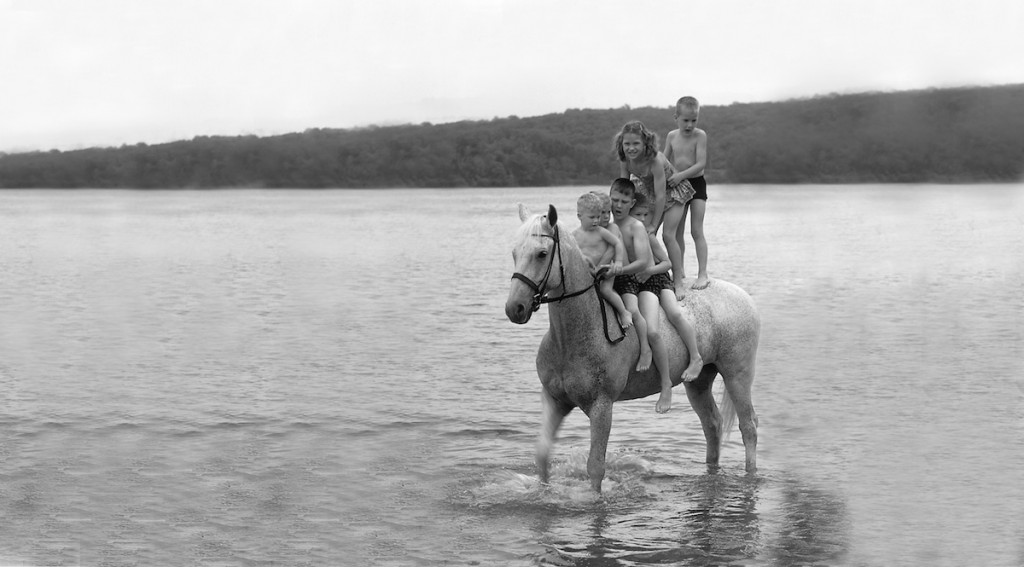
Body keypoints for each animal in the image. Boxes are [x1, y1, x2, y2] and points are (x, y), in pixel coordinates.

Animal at [505, 203, 761, 489]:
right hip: (699, 382)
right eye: (515, 253)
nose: (515, 308)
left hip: (737, 376)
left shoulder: (602, 406)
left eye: (541, 254)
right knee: (712, 425)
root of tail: (743, 295)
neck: (571, 336)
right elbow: (542, 457)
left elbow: (595, 467)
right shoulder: (554, 401)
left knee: (748, 427)